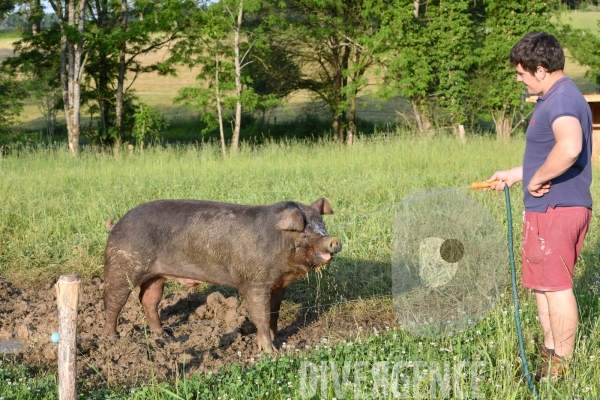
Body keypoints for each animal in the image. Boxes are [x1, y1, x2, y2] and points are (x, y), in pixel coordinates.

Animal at [101, 198, 340, 352]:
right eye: (305, 232)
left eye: (322, 226)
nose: (334, 240)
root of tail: (117, 224)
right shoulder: (253, 282)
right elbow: (260, 315)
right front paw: (271, 353)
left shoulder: (279, 284)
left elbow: (274, 312)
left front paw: (277, 338)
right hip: (122, 266)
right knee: (113, 302)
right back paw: (112, 339)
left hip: (156, 275)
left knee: (148, 300)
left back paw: (163, 335)